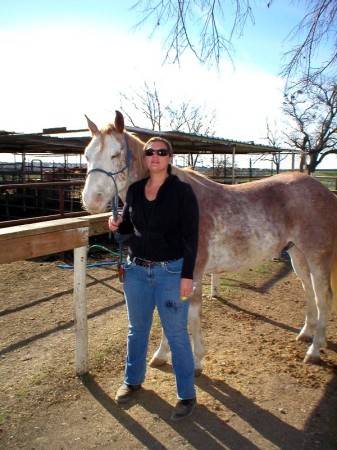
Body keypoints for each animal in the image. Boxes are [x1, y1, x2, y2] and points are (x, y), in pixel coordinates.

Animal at [80, 110, 336, 372]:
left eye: (115, 154)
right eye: (87, 155)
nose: (91, 200)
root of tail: (324, 191)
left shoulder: (191, 274)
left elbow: (191, 317)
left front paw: (195, 361)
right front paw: (161, 355)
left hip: (317, 255)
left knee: (323, 295)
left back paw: (314, 350)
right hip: (297, 255)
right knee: (309, 290)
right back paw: (306, 334)